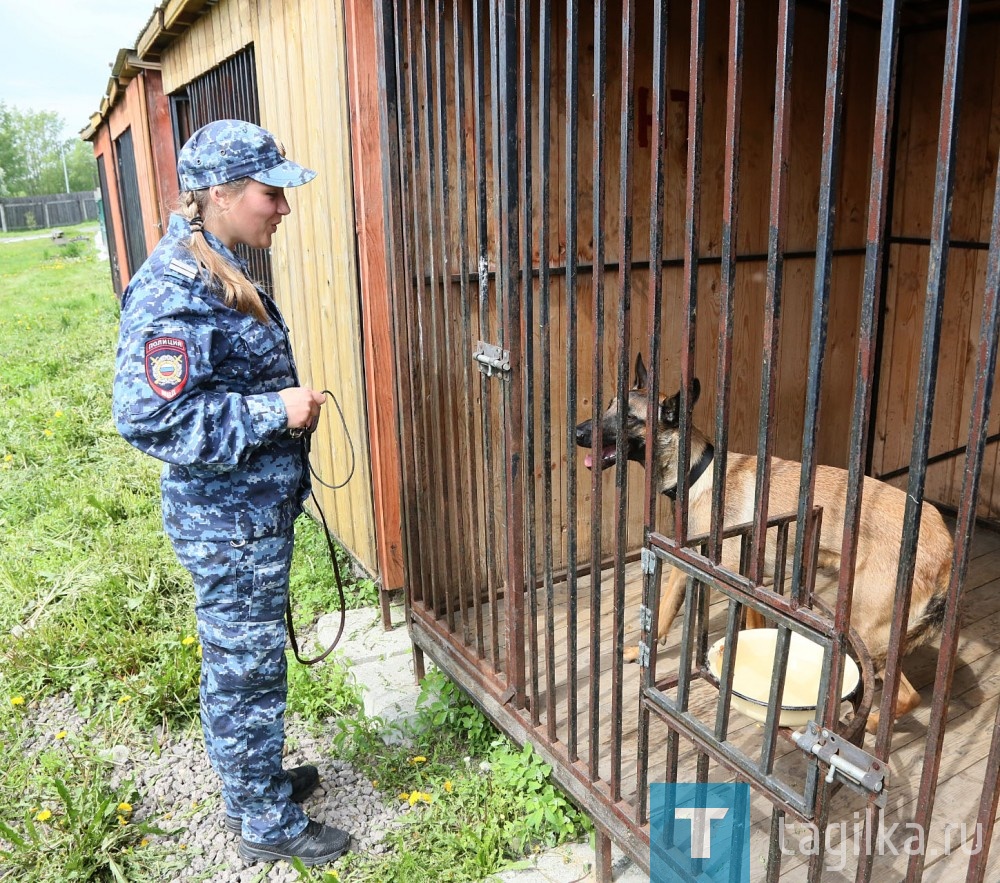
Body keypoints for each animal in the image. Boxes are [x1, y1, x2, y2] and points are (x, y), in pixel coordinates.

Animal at [576, 352, 948, 732]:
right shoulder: (720, 578)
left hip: (864, 631)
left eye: (628, 418)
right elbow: (673, 615)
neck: (697, 471)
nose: (577, 433)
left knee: (906, 696)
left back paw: (863, 726)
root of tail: (946, 547)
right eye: (608, 406)